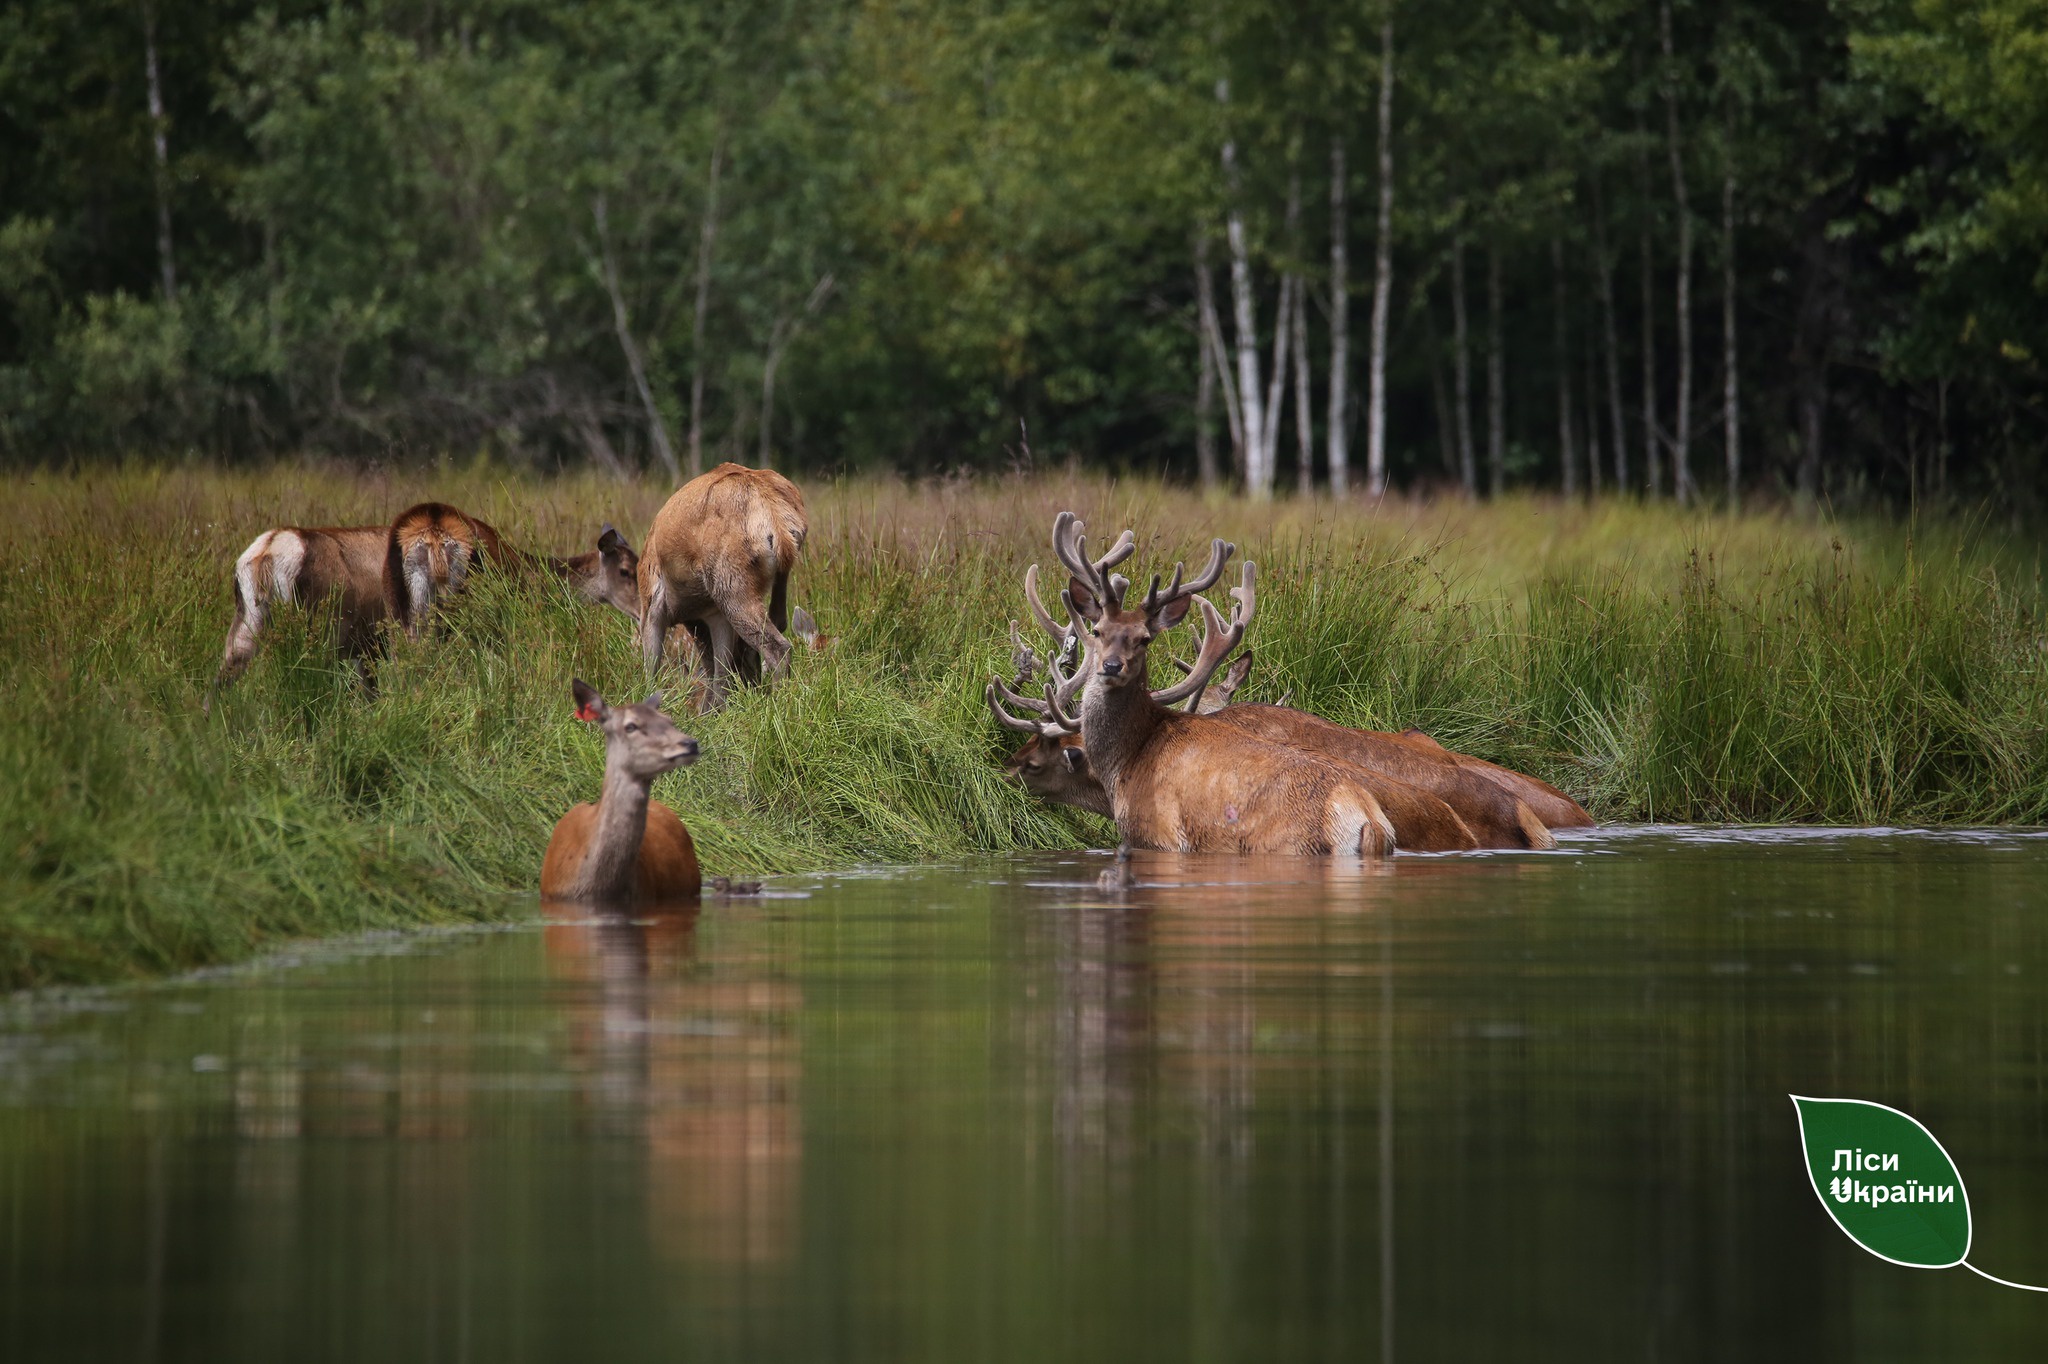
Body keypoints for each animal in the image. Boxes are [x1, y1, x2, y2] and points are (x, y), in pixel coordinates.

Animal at [630, 462, 806, 704]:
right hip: (776, 579)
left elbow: (653, 670)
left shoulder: (652, 603)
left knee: (778, 647)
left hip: (731, 586)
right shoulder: (713, 615)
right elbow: (719, 673)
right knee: (776, 625)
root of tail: (777, 521)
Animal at [995, 516, 1417, 856]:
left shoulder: (1156, 834)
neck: (1125, 764)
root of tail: (1369, 822)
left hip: (1287, 845)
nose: (1111, 666)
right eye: (1097, 631)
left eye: (1144, 639)